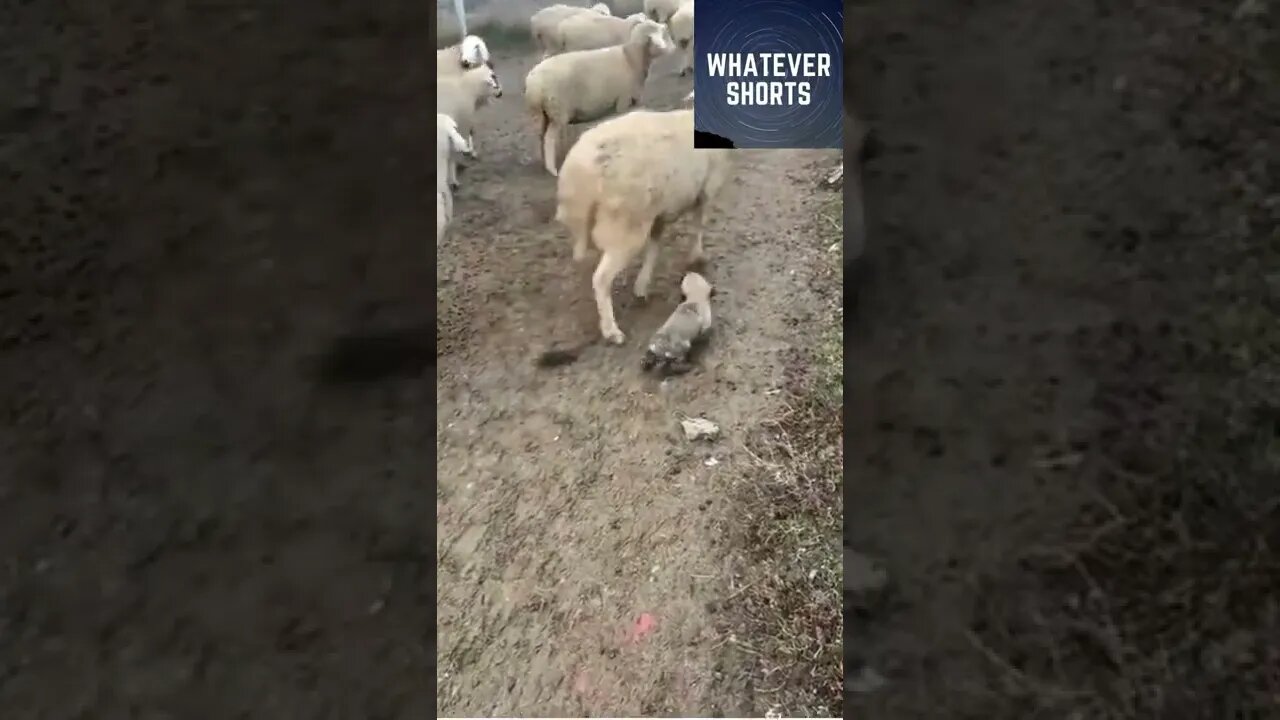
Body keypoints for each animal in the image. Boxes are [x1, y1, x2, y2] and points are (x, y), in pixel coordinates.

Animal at [524, 18, 675, 175]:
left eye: (663, 34)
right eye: (653, 37)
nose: (671, 48)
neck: (629, 59)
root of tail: (533, 82)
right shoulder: (623, 101)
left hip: (543, 114)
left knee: (541, 136)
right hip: (557, 111)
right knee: (549, 139)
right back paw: (552, 169)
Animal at [555, 107, 737, 343]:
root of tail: (582, 172)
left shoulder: (659, 211)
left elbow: (655, 244)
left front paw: (642, 284)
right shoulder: (707, 189)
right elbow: (699, 224)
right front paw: (696, 256)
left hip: (596, 224)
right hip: (624, 224)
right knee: (601, 279)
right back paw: (611, 330)